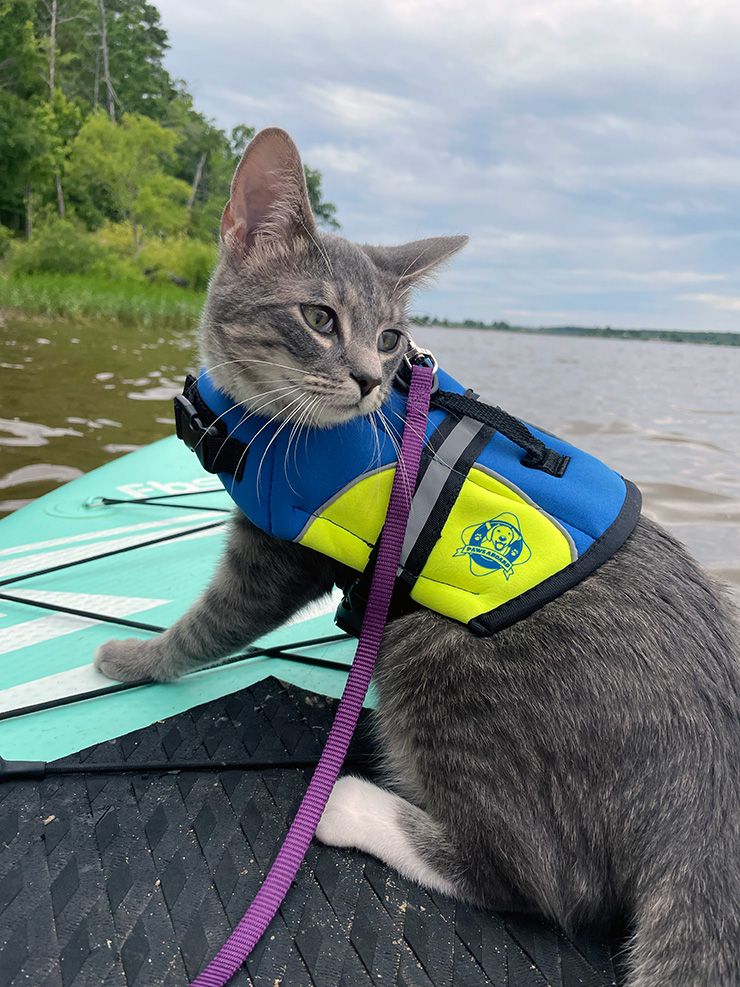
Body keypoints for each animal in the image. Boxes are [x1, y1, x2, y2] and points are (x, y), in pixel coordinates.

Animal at [94, 129, 740, 987]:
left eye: (391, 338)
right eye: (319, 316)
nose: (373, 378)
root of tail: (707, 803)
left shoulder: (276, 548)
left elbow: (212, 623)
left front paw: (134, 658)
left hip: (434, 655)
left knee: (542, 880)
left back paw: (351, 806)